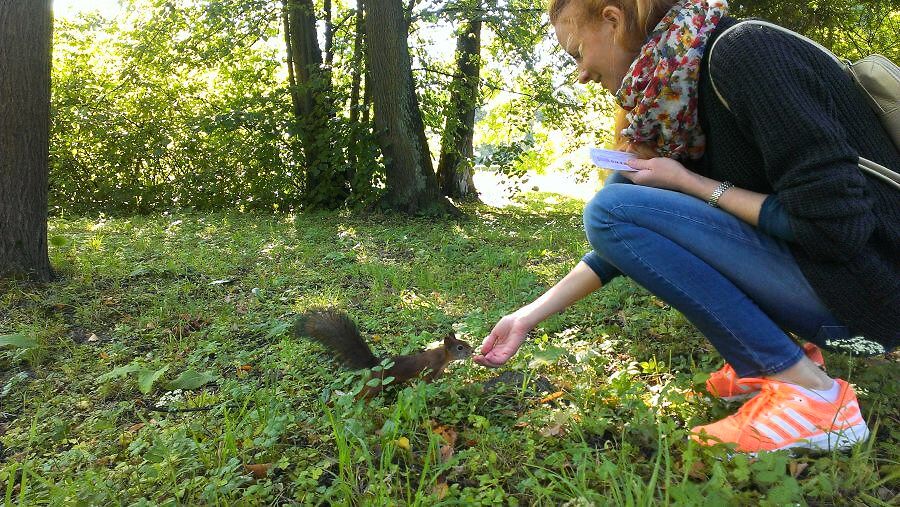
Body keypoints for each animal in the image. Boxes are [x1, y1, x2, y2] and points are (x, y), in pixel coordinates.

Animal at [298, 310, 478, 396]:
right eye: (460, 347)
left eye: (464, 342)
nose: (472, 350)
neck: (443, 356)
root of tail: (375, 364)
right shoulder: (430, 368)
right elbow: (425, 382)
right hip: (377, 382)